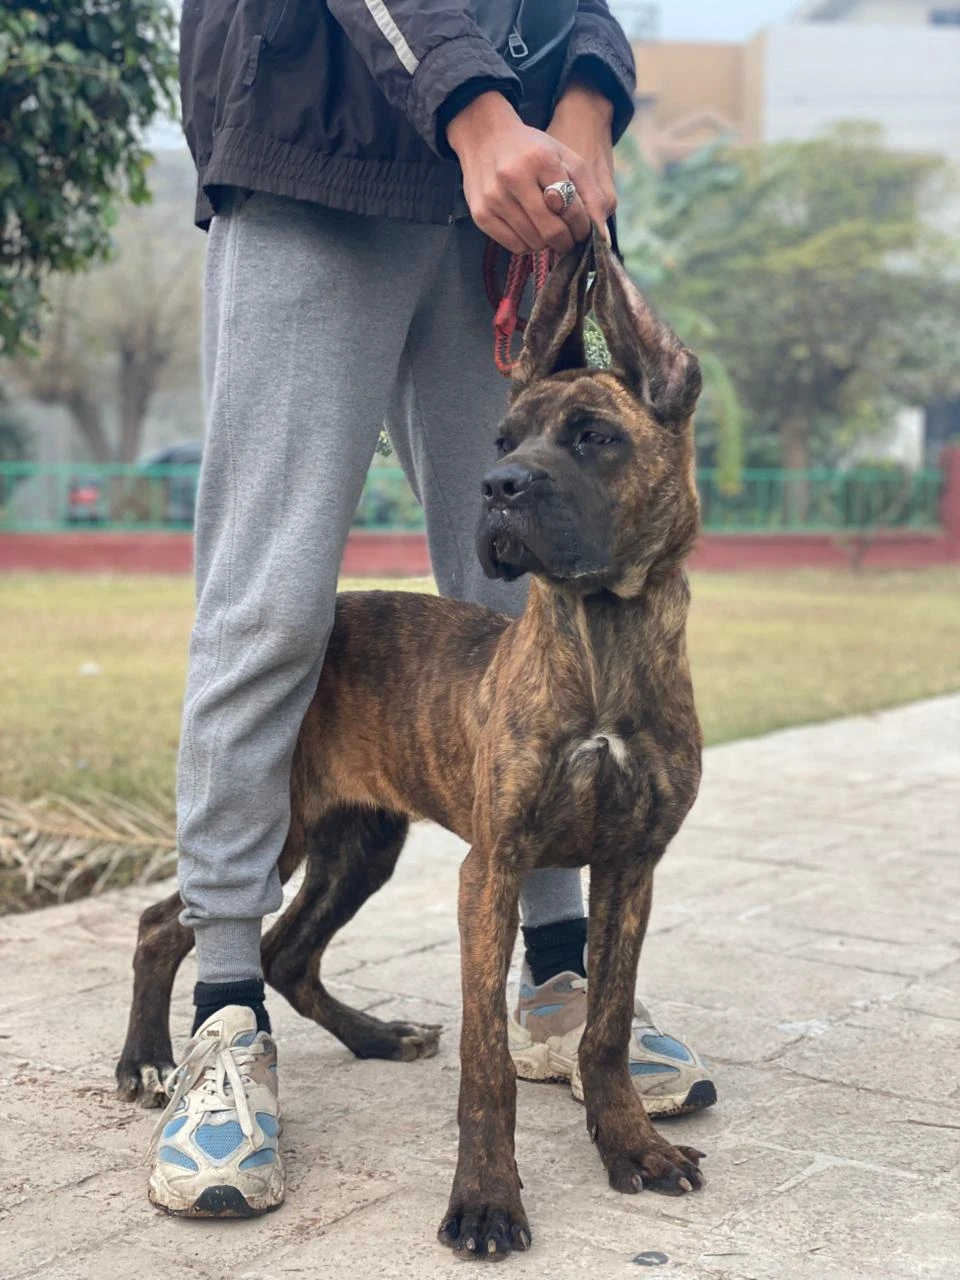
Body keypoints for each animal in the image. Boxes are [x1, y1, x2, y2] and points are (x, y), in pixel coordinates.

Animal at [118, 232, 706, 1259]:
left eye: (594, 435)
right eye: (505, 441)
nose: (498, 489)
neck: (604, 642)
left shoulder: (632, 865)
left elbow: (603, 1027)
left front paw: (630, 1142)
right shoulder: (492, 870)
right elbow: (487, 1065)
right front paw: (486, 1199)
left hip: (361, 843)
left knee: (287, 955)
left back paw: (376, 1038)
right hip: (277, 825)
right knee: (171, 923)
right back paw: (148, 1062)